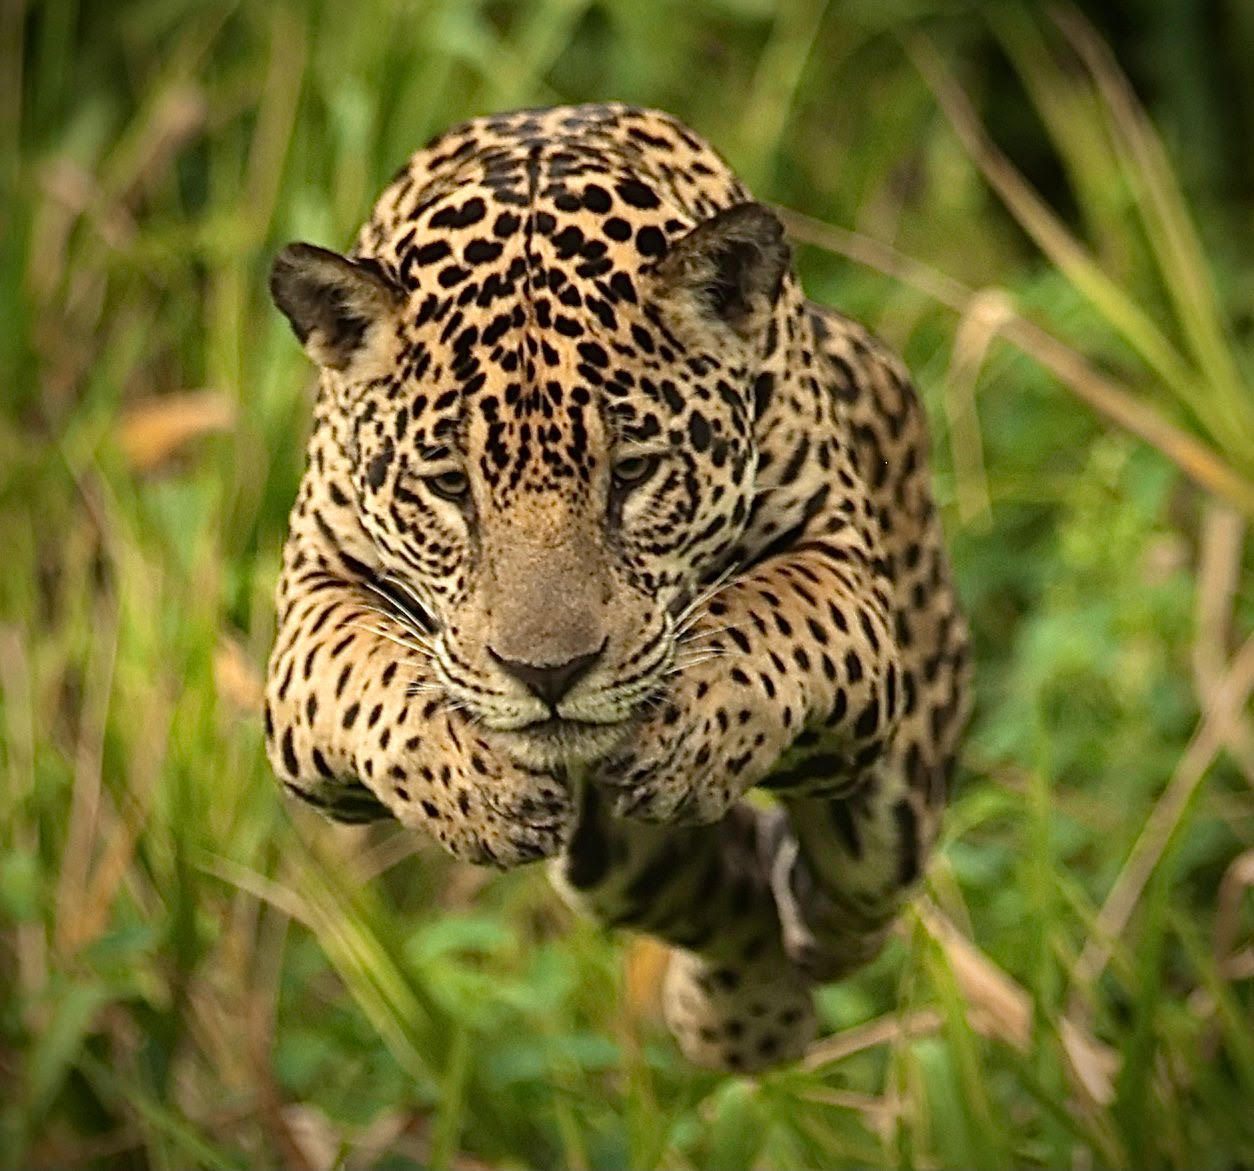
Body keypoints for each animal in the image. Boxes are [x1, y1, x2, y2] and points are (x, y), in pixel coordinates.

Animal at [263, 103, 970, 1072]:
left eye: (632, 472)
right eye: (448, 486)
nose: (548, 674)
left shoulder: (841, 567)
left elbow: (769, 620)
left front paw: (691, 730)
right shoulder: (307, 606)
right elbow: (366, 676)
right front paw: (477, 786)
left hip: (896, 772)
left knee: (852, 888)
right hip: (614, 861)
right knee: (723, 903)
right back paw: (740, 1020)